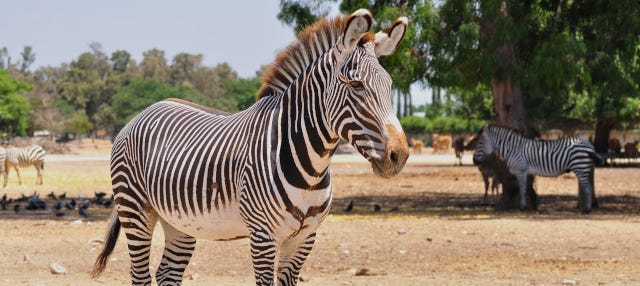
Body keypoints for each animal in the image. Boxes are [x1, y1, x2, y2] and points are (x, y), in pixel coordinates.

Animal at [90, 9, 410, 286]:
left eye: (390, 85)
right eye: (357, 86)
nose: (400, 155)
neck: (311, 167)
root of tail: (146, 110)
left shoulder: (304, 237)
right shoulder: (263, 236)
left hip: (178, 222)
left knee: (167, 273)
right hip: (135, 209)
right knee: (141, 275)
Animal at [472, 124, 604, 213]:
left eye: (480, 143)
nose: (474, 161)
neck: (514, 149)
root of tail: (589, 144)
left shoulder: (521, 171)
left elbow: (522, 189)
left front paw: (522, 207)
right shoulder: (525, 172)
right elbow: (525, 189)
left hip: (580, 167)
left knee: (588, 188)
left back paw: (587, 210)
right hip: (583, 168)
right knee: (587, 187)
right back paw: (586, 207)